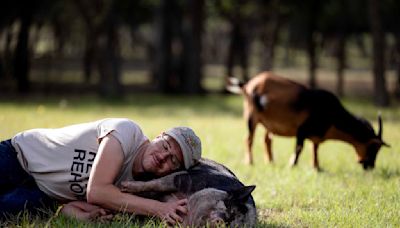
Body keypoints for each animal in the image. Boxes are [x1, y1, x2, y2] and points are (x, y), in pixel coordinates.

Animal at [120, 159, 256, 226]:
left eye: (234, 224)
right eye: (230, 208)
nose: (221, 221)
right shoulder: (186, 178)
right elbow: (159, 183)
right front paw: (124, 187)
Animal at [227, 72, 390, 170]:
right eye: (374, 147)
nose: (370, 166)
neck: (333, 114)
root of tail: (247, 85)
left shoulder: (316, 135)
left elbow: (315, 149)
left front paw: (317, 168)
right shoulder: (302, 129)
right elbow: (299, 148)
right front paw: (292, 165)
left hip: (268, 122)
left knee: (267, 140)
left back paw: (271, 162)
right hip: (251, 116)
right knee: (249, 139)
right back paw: (250, 162)